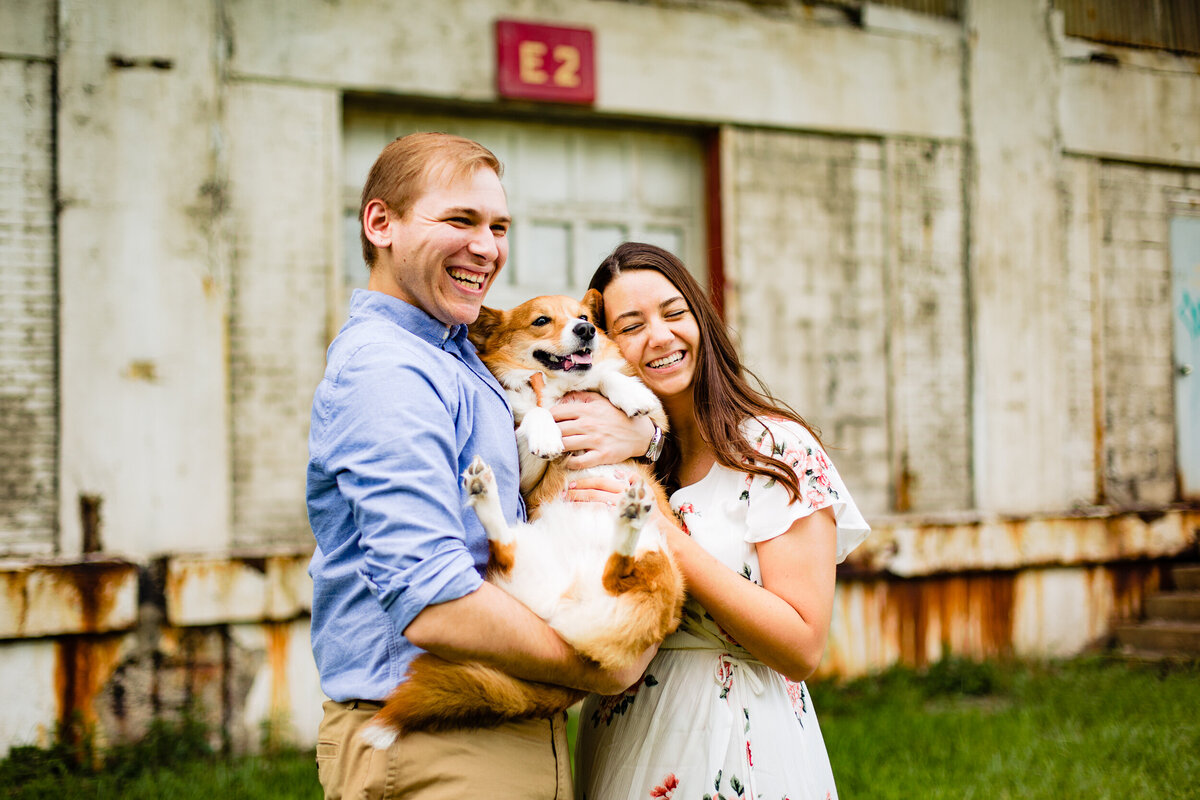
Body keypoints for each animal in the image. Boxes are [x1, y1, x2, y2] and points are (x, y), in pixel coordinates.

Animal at [360, 291, 686, 748]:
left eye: (583, 316)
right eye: (542, 321)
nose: (586, 330)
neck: (556, 387)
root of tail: (559, 616)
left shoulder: (652, 418)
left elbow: (603, 379)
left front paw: (624, 392)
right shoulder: (526, 473)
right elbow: (534, 414)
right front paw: (547, 431)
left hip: (658, 566)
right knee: (599, 566)